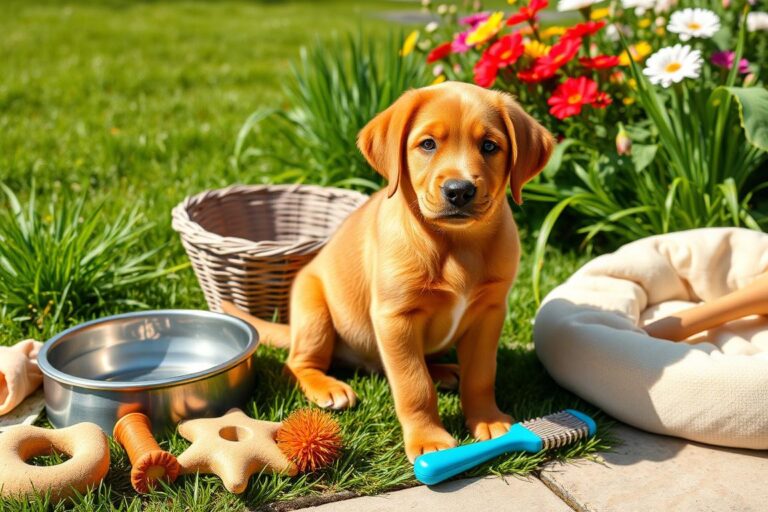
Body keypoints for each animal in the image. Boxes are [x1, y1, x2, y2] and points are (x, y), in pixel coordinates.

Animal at [225, 82, 556, 462]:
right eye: (427, 144)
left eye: (489, 146)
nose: (459, 191)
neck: (456, 245)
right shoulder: (395, 317)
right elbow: (413, 385)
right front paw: (429, 439)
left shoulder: (489, 313)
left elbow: (481, 374)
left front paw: (487, 419)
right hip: (313, 312)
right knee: (297, 363)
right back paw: (328, 387)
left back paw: (444, 371)